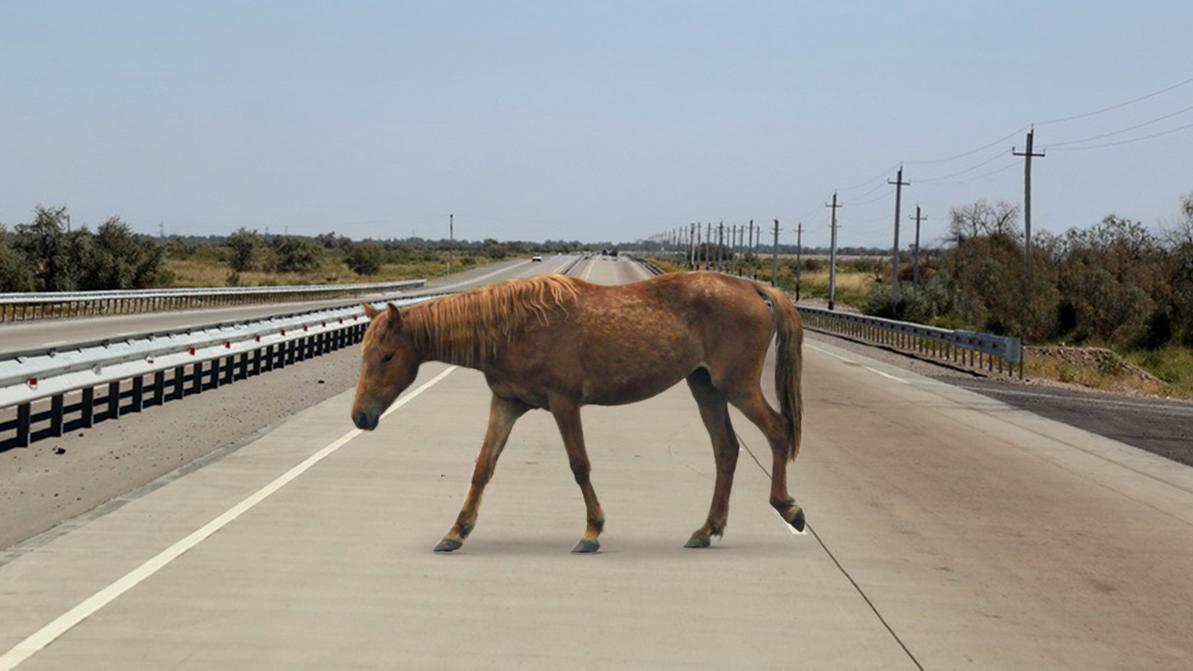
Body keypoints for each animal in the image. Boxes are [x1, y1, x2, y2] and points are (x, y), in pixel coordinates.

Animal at [348, 268, 806, 551]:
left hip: (736, 386)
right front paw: (456, 532)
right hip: (705, 387)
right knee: (726, 449)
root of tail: (752, 289)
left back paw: (788, 507)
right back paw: (706, 529)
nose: (361, 416)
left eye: (386, 356)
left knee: (778, 430)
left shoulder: (564, 404)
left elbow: (579, 465)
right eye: (364, 353)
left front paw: (591, 531)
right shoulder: (507, 403)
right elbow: (483, 466)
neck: (513, 328)